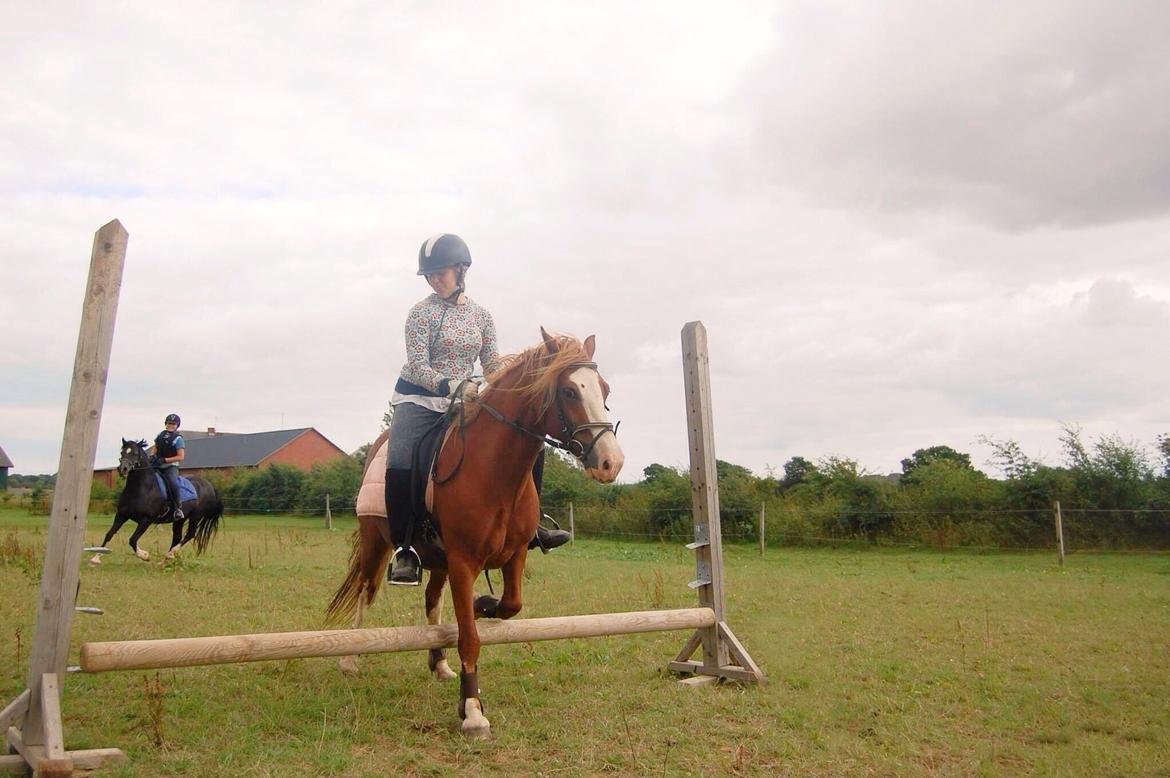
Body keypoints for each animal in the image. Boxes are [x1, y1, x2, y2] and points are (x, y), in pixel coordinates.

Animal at [89, 439, 223, 561]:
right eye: (122, 452)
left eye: (135, 453)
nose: (123, 469)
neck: (141, 488)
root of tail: (209, 485)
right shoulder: (121, 515)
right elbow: (109, 534)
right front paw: (96, 557)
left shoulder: (146, 520)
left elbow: (132, 539)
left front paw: (144, 555)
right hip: (180, 519)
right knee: (177, 537)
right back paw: (167, 558)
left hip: (196, 516)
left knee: (190, 534)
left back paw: (171, 553)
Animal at [325, 329, 627, 739]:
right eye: (568, 391)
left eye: (604, 389)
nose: (611, 463)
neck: (492, 470)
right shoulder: (464, 563)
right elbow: (469, 637)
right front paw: (472, 711)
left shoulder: (514, 556)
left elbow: (510, 605)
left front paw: (485, 603)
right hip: (377, 542)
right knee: (365, 591)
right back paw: (350, 658)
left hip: (436, 560)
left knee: (431, 602)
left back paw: (438, 663)